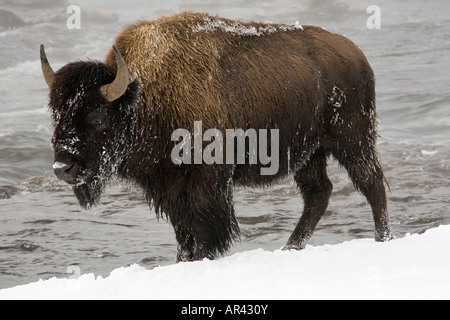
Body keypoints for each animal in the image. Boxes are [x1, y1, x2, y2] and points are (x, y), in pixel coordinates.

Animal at [41, 11, 394, 262]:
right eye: (56, 115)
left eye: (98, 117)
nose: (63, 168)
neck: (145, 98)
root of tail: (356, 54)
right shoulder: (169, 190)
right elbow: (184, 236)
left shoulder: (205, 185)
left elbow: (205, 231)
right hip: (310, 153)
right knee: (319, 194)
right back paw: (290, 248)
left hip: (352, 139)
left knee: (372, 184)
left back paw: (383, 240)